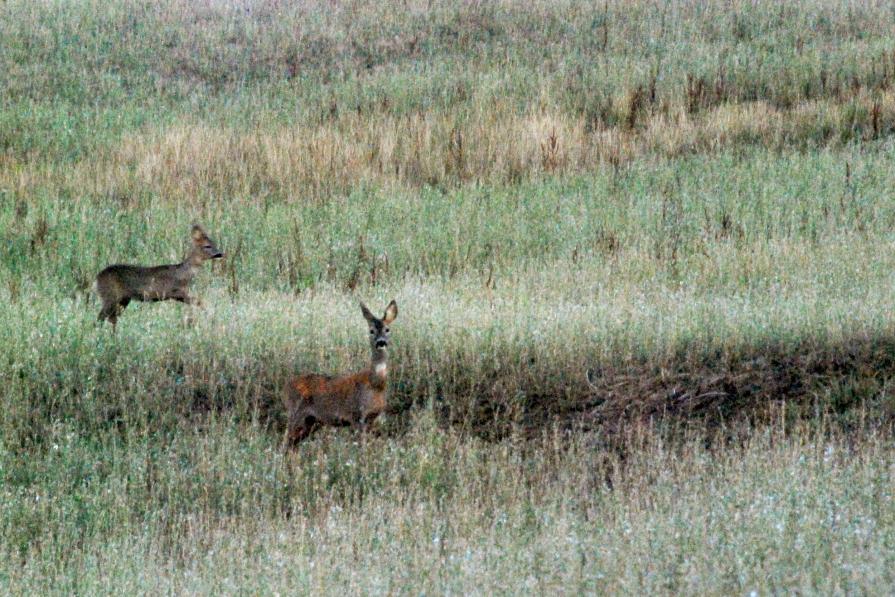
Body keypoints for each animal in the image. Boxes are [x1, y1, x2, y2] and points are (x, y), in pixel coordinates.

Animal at [94, 225, 224, 326]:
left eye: (214, 243)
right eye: (207, 246)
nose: (220, 253)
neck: (184, 273)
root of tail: (97, 277)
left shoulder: (178, 295)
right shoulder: (173, 291)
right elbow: (199, 301)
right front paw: (210, 311)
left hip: (123, 299)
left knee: (111, 318)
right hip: (110, 296)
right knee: (101, 317)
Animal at [284, 298, 400, 448]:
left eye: (387, 329)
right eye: (371, 331)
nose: (381, 342)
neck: (375, 384)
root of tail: (285, 387)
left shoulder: (372, 418)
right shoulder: (356, 415)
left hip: (311, 422)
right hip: (295, 413)